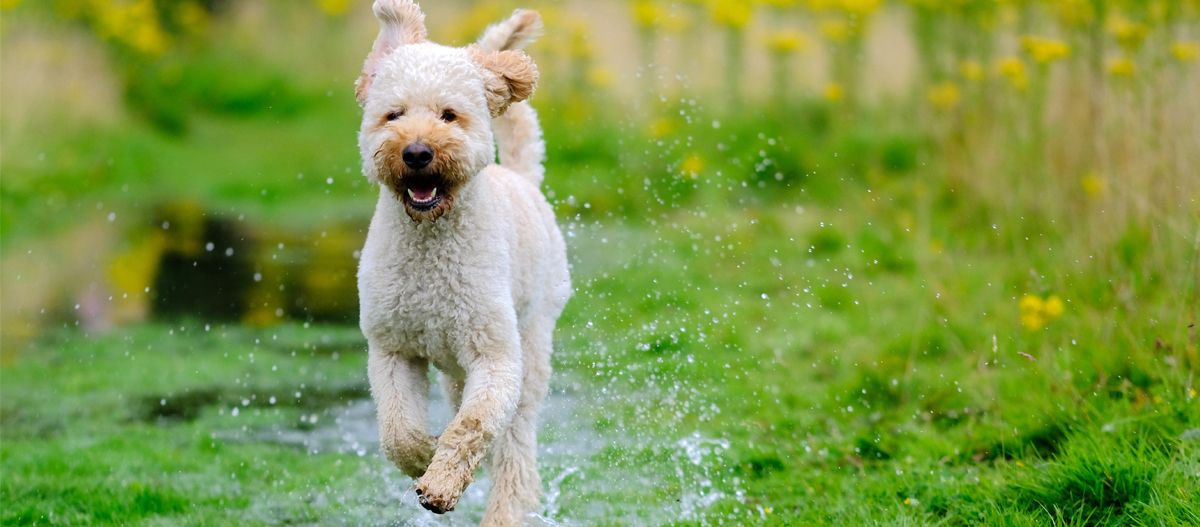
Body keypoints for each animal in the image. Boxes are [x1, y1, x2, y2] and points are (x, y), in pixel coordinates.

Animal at [350, 2, 571, 525]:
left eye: (450, 115)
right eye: (393, 114)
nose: (416, 152)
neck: (430, 242)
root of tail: (521, 177)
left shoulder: (496, 358)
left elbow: (473, 425)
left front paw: (442, 484)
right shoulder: (392, 350)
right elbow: (398, 432)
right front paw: (426, 457)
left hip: (532, 347)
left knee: (513, 450)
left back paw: (505, 510)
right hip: (453, 371)